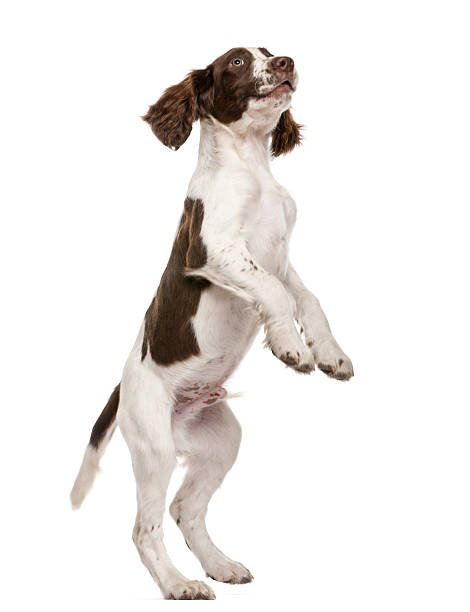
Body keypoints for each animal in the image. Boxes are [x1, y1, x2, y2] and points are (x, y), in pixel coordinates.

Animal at [70, 46, 352, 596]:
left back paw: (220, 565)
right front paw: (291, 348)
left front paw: (331, 354)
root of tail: (123, 386)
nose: (285, 62)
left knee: (185, 508)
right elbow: (274, 294)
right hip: (154, 446)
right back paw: (178, 584)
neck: (252, 166)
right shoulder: (213, 251)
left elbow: (309, 300)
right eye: (239, 62)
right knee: (145, 527)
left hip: (221, 441)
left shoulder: (282, 260)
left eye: (270, 51)